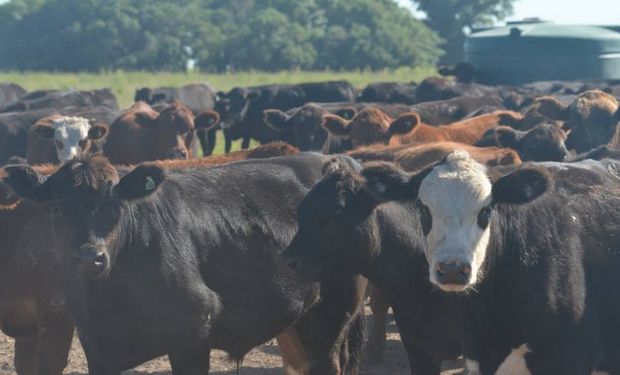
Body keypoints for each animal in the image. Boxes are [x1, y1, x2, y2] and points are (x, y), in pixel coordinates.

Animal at [2, 154, 366, 374]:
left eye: (116, 206)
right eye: (55, 208)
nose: (90, 257)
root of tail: (336, 161)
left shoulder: (192, 334)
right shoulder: (97, 346)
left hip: (332, 315)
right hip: (300, 321)